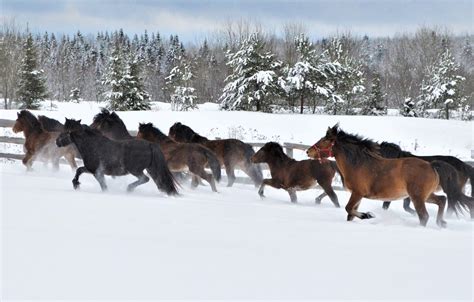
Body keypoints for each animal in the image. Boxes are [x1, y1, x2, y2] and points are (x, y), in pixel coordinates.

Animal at [306, 124, 468, 226]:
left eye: (324, 141)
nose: (308, 151)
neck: (358, 163)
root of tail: (431, 165)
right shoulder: (357, 195)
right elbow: (350, 214)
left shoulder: (358, 193)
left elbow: (348, 208)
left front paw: (367, 215)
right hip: (425, 196)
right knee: (442, 200)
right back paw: (442, 222)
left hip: (417, 197)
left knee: (424, 216)